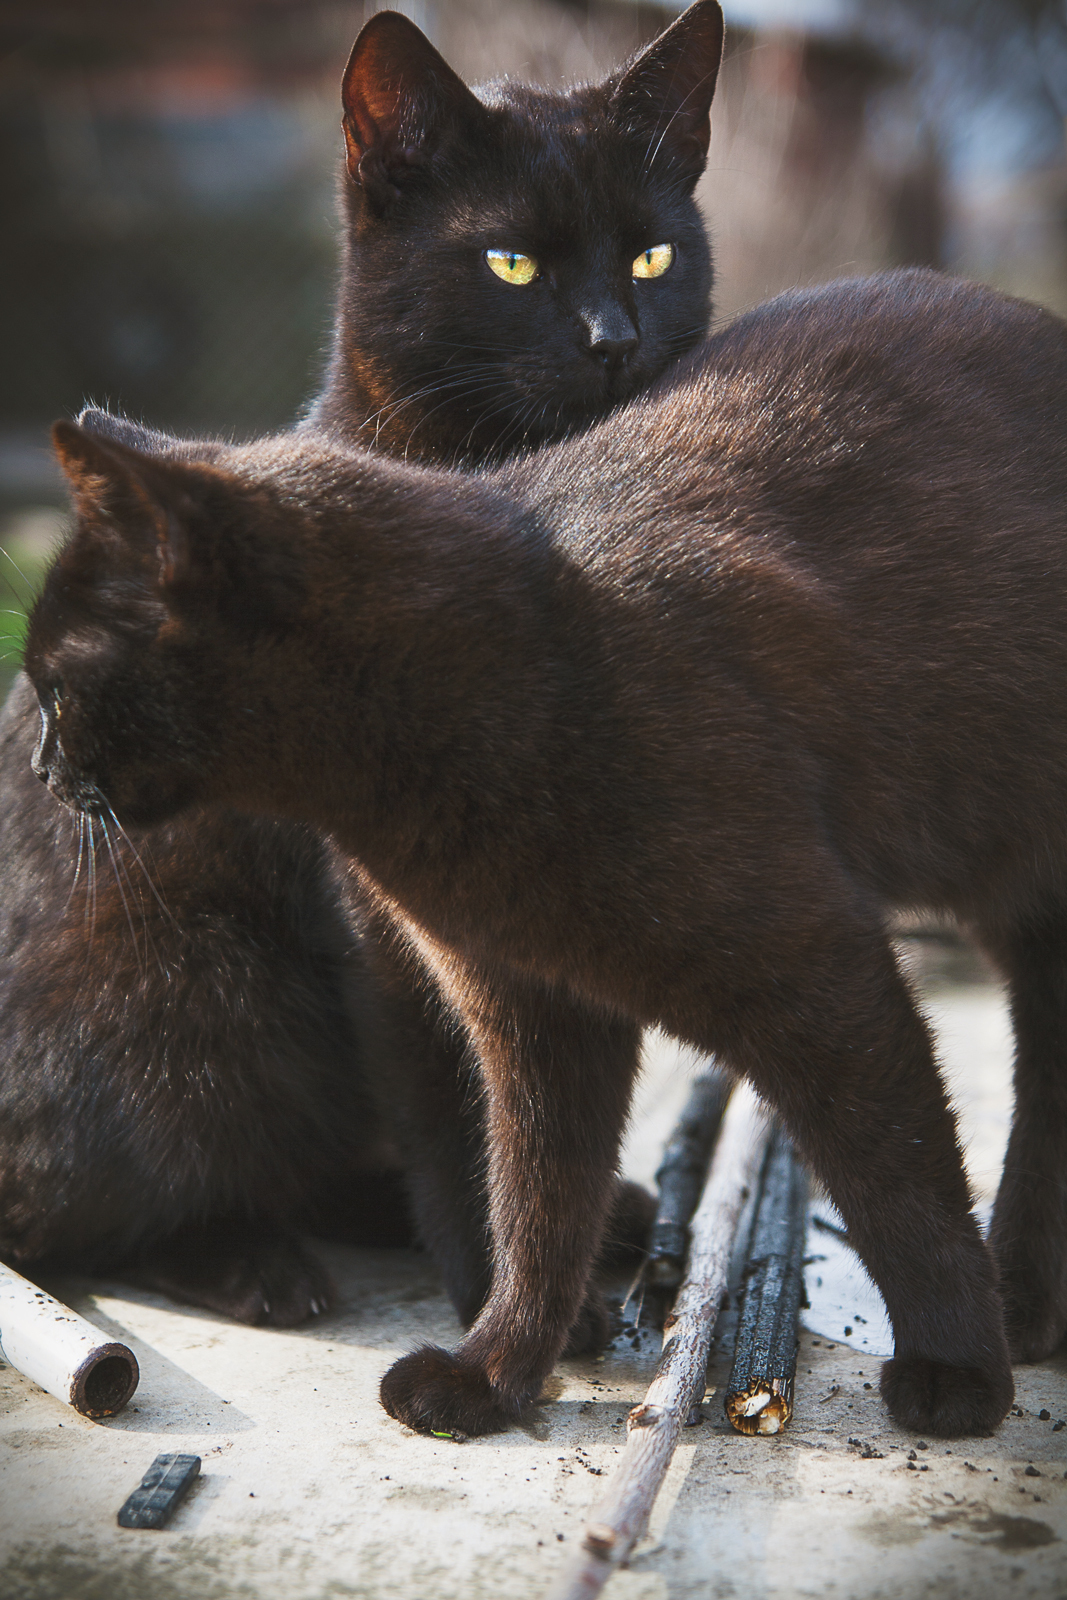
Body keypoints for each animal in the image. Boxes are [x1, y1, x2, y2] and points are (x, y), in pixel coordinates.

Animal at [0, 0, 726, 1324]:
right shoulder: (371, 918)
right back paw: (252, 1261)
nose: (613, 338)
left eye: (653, 257)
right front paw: (501, 1299)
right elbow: (449, 1097)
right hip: (197, 985)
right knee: (88, 1210)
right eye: (510, 265)